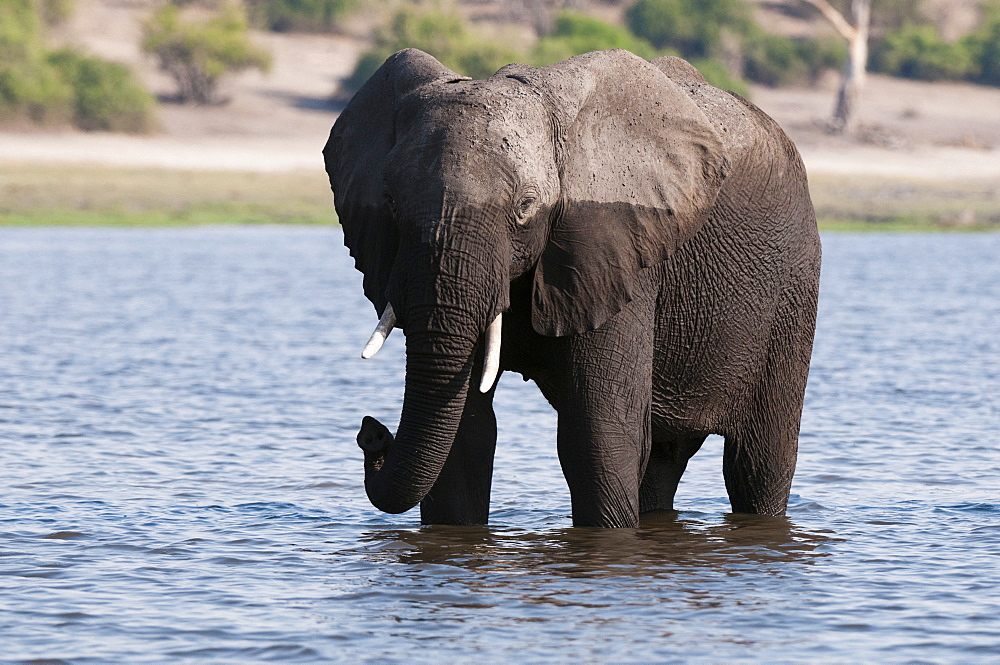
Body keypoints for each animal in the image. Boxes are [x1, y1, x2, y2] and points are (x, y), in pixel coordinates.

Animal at [322, 46, 820, 528]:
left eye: (525, 207)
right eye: (390, 203)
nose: (371, 430)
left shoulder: (616, 250)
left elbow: (596, 435)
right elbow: (465, 434)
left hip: (793, 289)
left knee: (757, 464)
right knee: (664, 458)